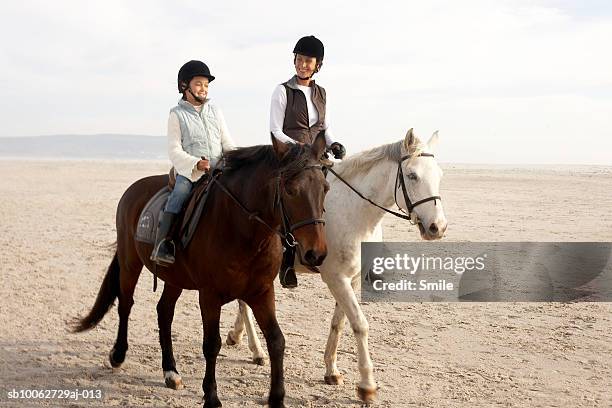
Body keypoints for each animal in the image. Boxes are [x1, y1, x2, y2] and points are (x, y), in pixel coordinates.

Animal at [73, 135, 330, 408]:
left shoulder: (261, 292)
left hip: (174, 278)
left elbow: (276, 340)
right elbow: (212, 344)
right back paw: (119, 354)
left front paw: (277, 398)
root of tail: (135, 189)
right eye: (290, 190)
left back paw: (171, 372)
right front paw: (211, 396)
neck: (242, 231)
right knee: (126, 303)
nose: (316, 253)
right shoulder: (209, 296)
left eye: (325, 188)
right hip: (130, 262)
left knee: (164, 311)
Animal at [224, 129, 444, 404]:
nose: (438, 227)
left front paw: (331, 370)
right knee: (244, 302)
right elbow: (359, 324)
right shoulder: (336, 279)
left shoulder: (351, 278)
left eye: (440, 175)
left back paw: (238, 336)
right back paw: (256, 350)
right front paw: (367, 385)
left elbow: (339, 323)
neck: (355, 213)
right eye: (413, 175)